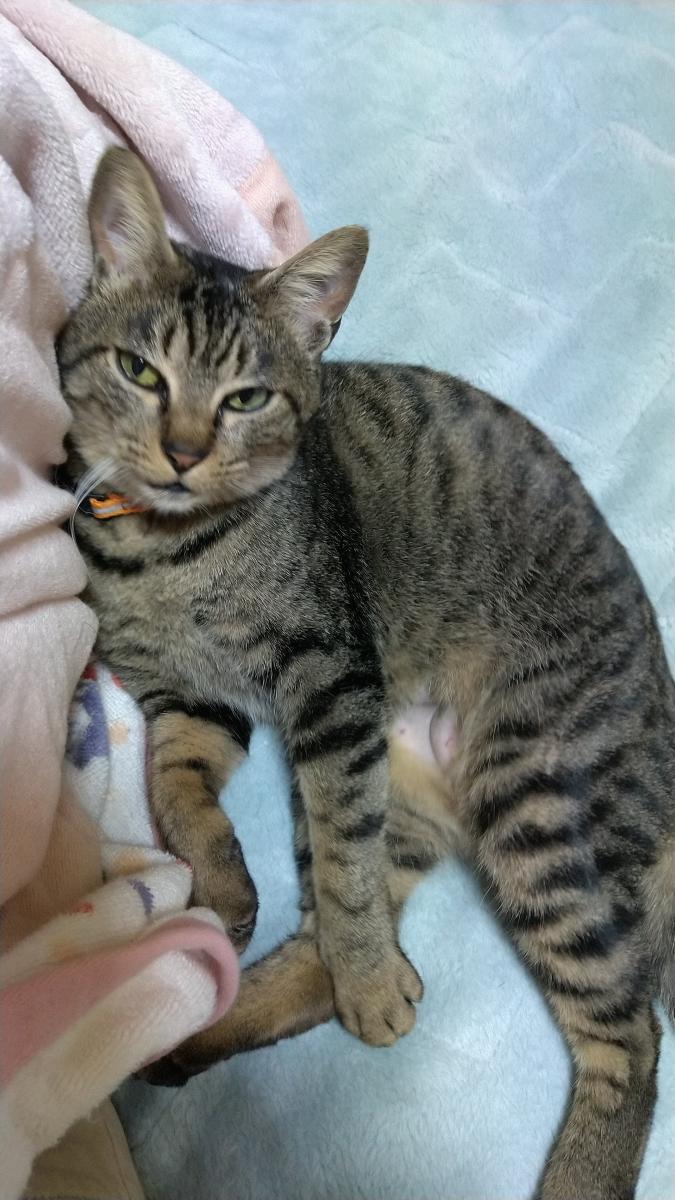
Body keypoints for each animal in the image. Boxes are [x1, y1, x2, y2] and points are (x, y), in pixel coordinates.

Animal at [57, 147, 674, 1200]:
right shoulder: (191, 701)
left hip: (538, 804)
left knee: (630, 1037)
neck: (166, 552)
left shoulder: (331, 682)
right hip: (409, 790)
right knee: (337, 934)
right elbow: (173, 784)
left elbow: (346, 882)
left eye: (246, 399)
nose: (182, 452)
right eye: (141, 372)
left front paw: (362, 972)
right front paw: (224, 884)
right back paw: (193, 1023)